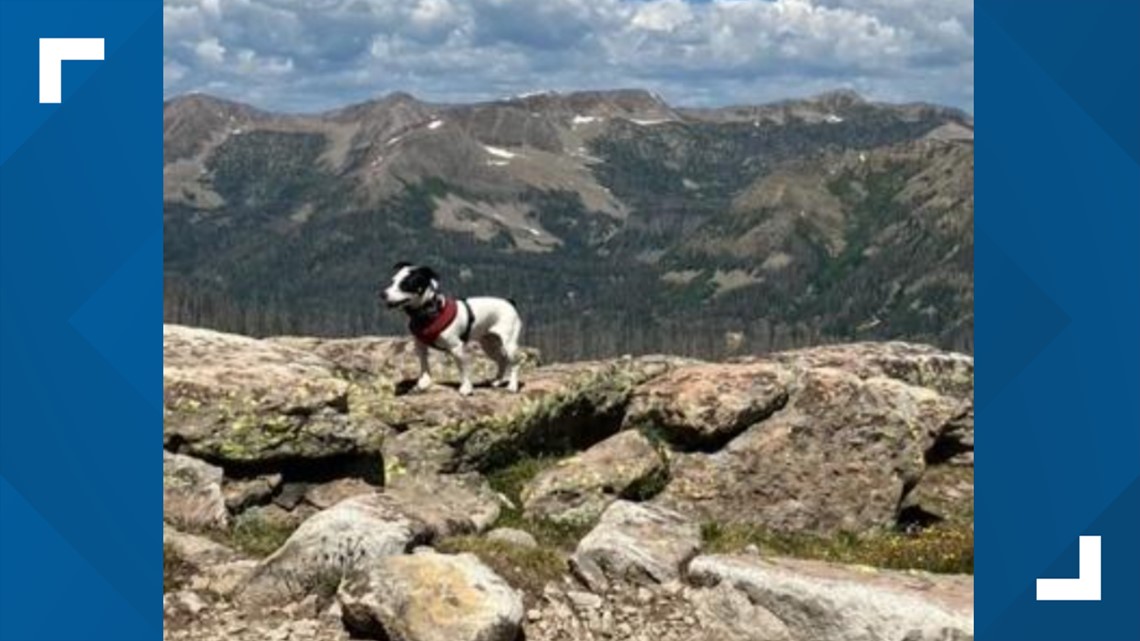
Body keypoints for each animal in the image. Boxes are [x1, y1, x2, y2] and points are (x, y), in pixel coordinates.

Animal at [383, 261, 524, 394]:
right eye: (392, 281)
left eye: (405, 284)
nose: (382, 294)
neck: (430, 311)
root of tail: (509, 302)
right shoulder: (420, 345)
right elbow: (424, 365)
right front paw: (424, 382)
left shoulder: (456, 348)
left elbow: (463, 369)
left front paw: (466, 388)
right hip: (489, 344)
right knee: (502, 360)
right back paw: (497, 381)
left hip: (509, 344)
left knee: (515, 363)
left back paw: (512, 386)